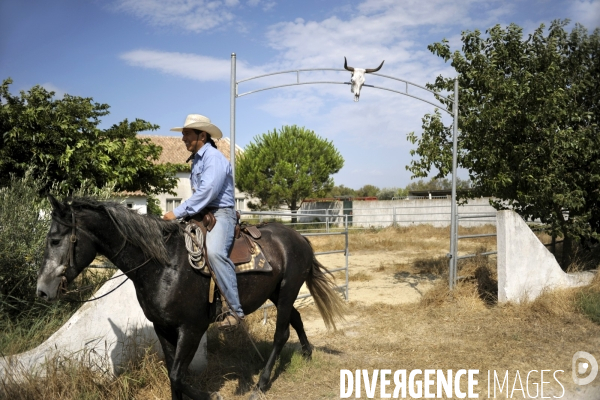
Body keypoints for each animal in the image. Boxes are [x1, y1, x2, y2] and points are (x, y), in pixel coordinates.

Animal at [36, 197, 346, 400]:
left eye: (54, 240)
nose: (42, 290)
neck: (163, 264)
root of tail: (299, 237)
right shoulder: (163, 328)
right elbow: (173, 377)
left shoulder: (192, 328)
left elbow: (177, 376)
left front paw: (212, 396)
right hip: (278, 292)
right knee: (297, 318)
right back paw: (307, 354)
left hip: (287, 290)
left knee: (281, 333)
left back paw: (261, 384)